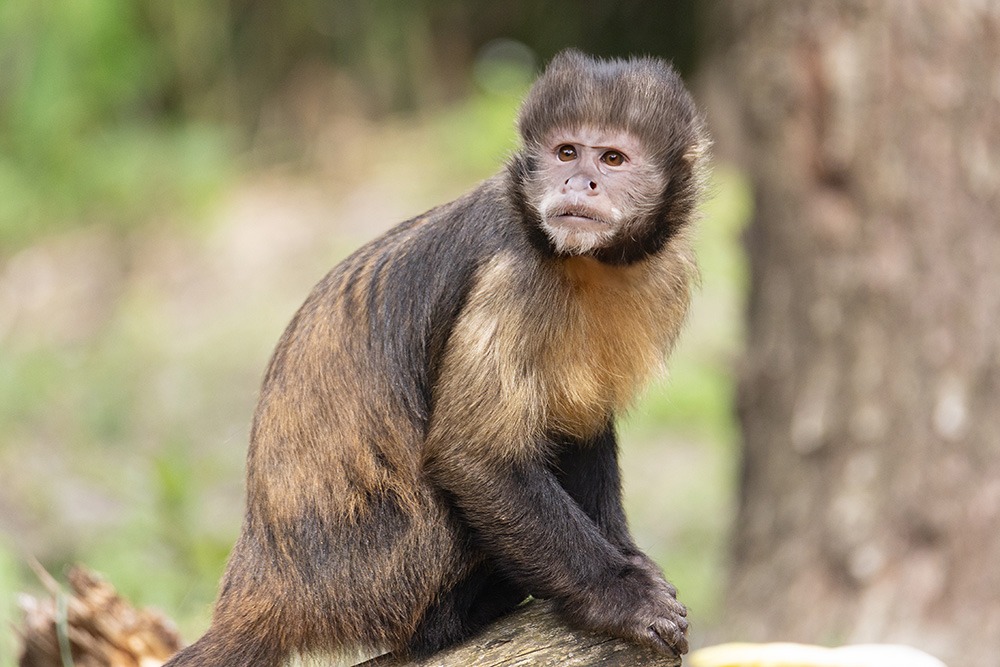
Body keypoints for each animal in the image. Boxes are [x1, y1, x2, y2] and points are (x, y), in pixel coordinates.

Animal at [164, 49, 708, 664]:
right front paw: (618, 596)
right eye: (567, 152)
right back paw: (452, 619)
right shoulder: (511, 280)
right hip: (375, 576)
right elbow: (473, 458)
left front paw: (628, 560)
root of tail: (264, 583)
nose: (579, 180)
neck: (582, 263)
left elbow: (578, 426)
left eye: (612, 158)